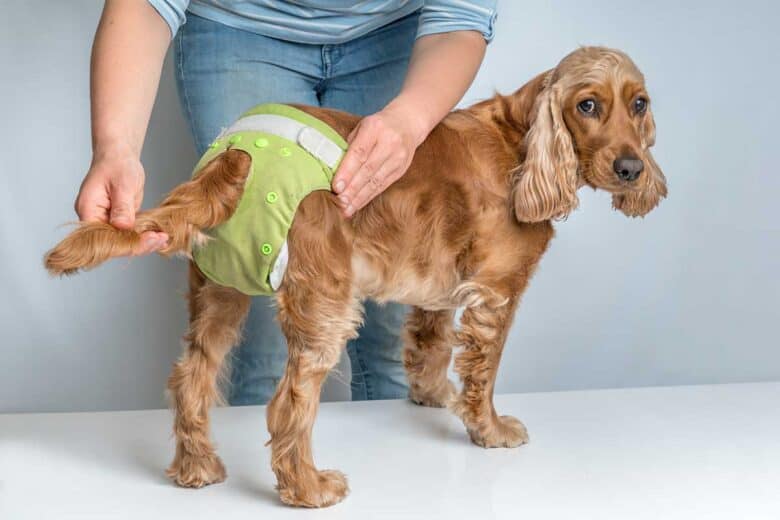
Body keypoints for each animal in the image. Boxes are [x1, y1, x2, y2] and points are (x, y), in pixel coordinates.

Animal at [42, 46, 664, 506]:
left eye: (638, 104)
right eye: (587, 105)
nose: (631, 168)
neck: (520, 142)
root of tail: (236, 153)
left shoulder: (440, 287)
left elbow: (431, 345)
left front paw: (430, 397)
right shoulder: (496, 292)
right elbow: (483, 372)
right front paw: (488, 430)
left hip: (219, 291)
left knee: (191, 377)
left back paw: (198, 469)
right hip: (325, 302)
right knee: (288, 403)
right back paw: (309, 487)